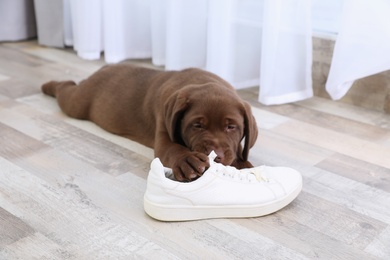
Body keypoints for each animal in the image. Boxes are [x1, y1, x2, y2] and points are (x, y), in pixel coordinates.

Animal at [41, 64, 258, 181]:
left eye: (231, 127)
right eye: (197, 125)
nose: (217, 156)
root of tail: (105, 67)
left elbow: (239, 150)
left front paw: (245, 166)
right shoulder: (164, 129)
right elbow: (172, 149)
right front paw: (187, 160)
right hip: (78, 102)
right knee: (66, 88)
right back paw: (48, 86)